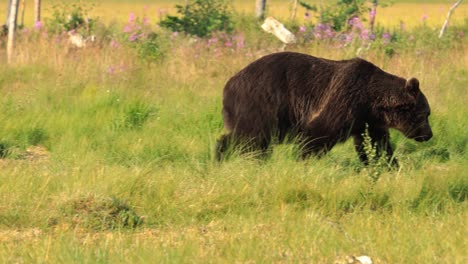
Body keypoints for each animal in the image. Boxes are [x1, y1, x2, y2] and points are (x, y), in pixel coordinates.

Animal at [218, 51, 434, 165]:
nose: (428, 134)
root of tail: (228, 84)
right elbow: (318, 134)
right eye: (425, 114)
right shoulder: (344, 99)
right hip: (262, 103)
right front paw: (304, 159)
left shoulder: (368, 120)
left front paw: (388, 165)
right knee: (251, 138)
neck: (372, 101)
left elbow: (375, 145)